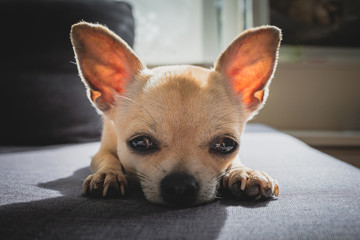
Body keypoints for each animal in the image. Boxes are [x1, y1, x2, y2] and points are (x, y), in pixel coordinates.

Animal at [69, 21, 282, 207]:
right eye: (140, 143)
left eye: (226, 145)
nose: (180, 186)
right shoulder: (102, 151)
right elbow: (108, 158)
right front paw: (108, 174)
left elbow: (236, 161)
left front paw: (245, 172)